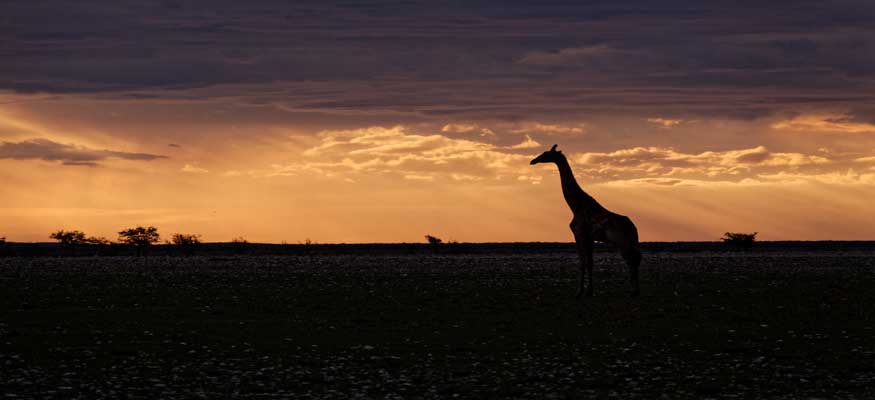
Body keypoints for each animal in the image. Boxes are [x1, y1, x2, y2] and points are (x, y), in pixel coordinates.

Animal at [528, 145, 644, 296]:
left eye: (546, 154)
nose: (533, 161)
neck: (575, 205)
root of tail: (634, 228)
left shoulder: (579, 234)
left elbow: (582, 263)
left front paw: (579, 292)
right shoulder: (589, 237)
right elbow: (590, 263)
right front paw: (589, 291)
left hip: (622, 242)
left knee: (631, 260)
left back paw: (634, 291)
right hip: (630, 241)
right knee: (635, 258)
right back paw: (635, 290)